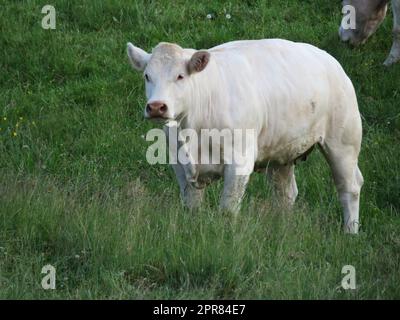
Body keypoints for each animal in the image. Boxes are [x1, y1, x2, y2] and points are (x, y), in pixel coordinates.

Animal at [126, 40, 364, 235]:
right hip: (281, 153)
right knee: (286, 193)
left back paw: (350, 232)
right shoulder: (179, 164)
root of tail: (330, 61)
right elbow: (192, 206)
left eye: (180, 76)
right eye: (147, 76)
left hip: (343, 142)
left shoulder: (239, 162)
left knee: (349, 187)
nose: (156, 106)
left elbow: (228, 210)